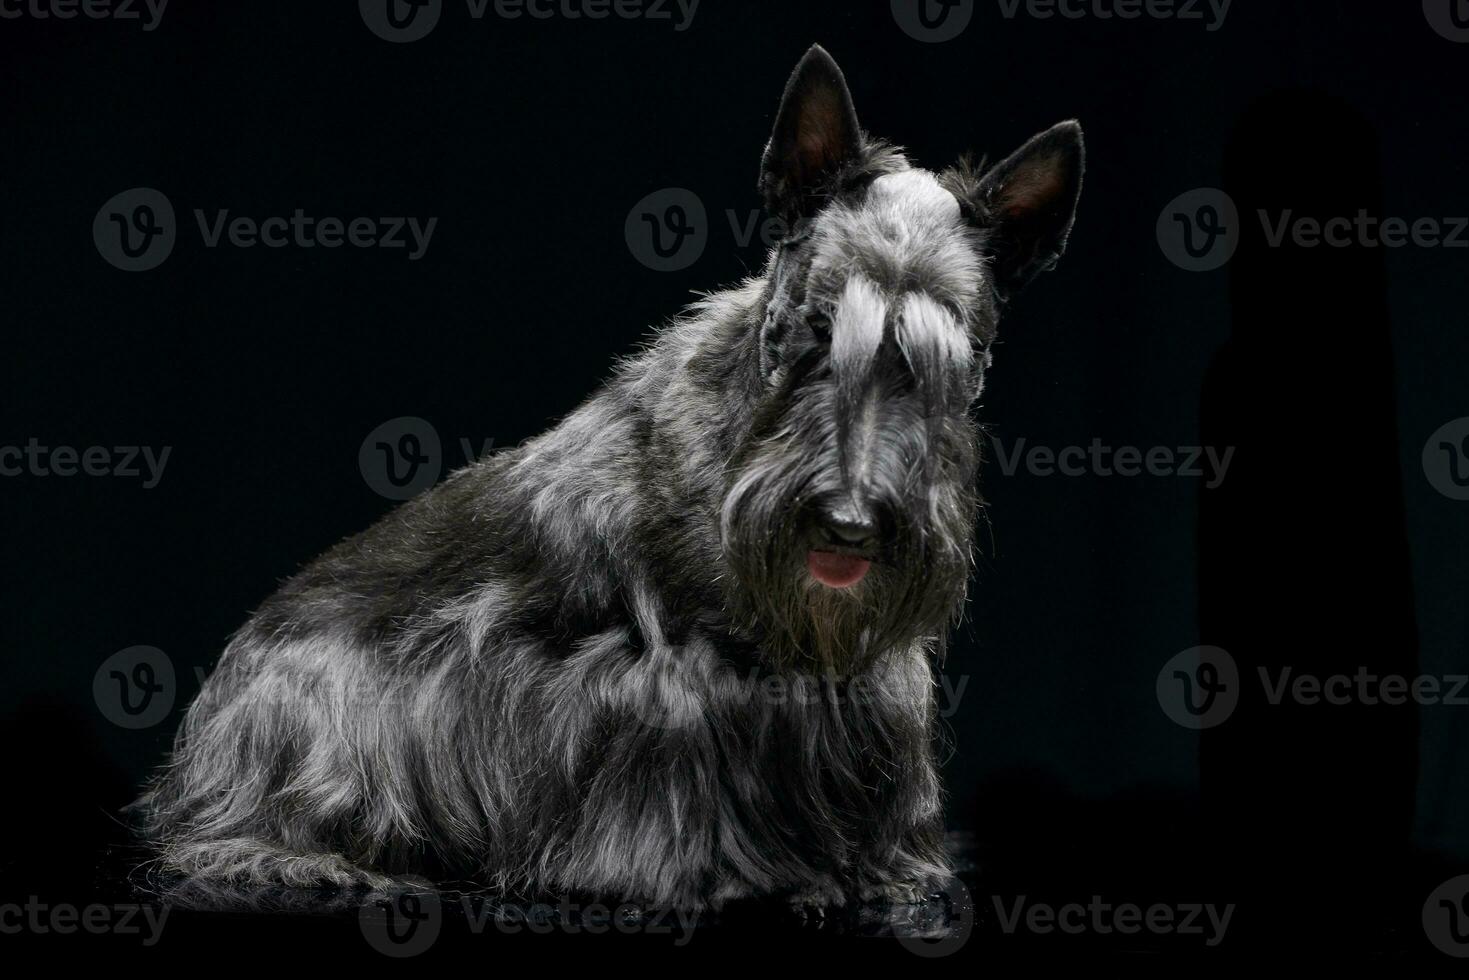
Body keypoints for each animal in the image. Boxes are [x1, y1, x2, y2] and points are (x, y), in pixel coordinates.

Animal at [135, 40, 1081, 910]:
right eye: (815, 327)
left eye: (958, 357)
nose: (849, 524)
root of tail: (202, 732)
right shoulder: (662, 688)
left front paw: (883, 870)